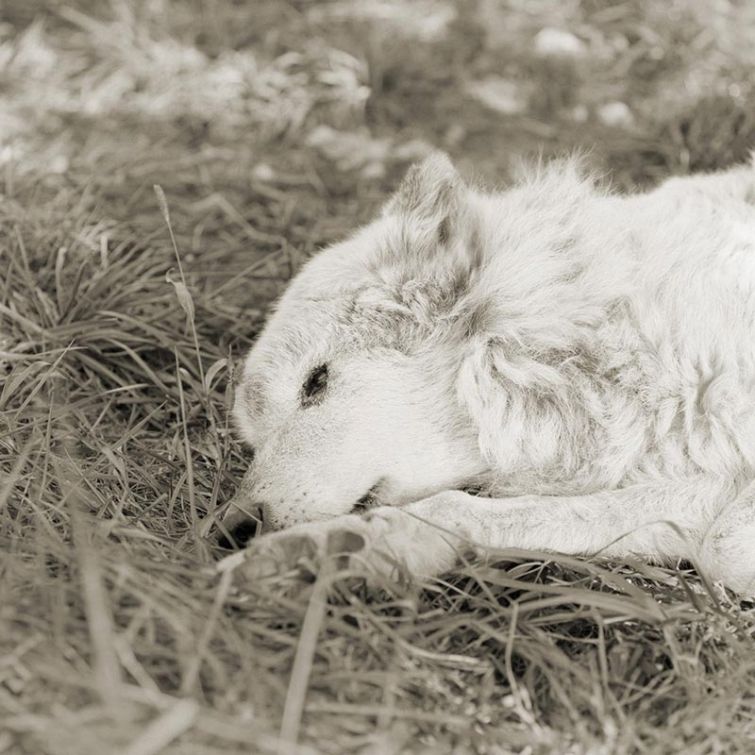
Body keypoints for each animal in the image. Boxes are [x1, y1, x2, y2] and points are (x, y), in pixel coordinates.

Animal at [224, 154, 755, 596]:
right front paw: (332, 552)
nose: (234, 526)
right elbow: (469, 509)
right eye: (253, 440)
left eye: (316, 382)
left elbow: (723, 546)